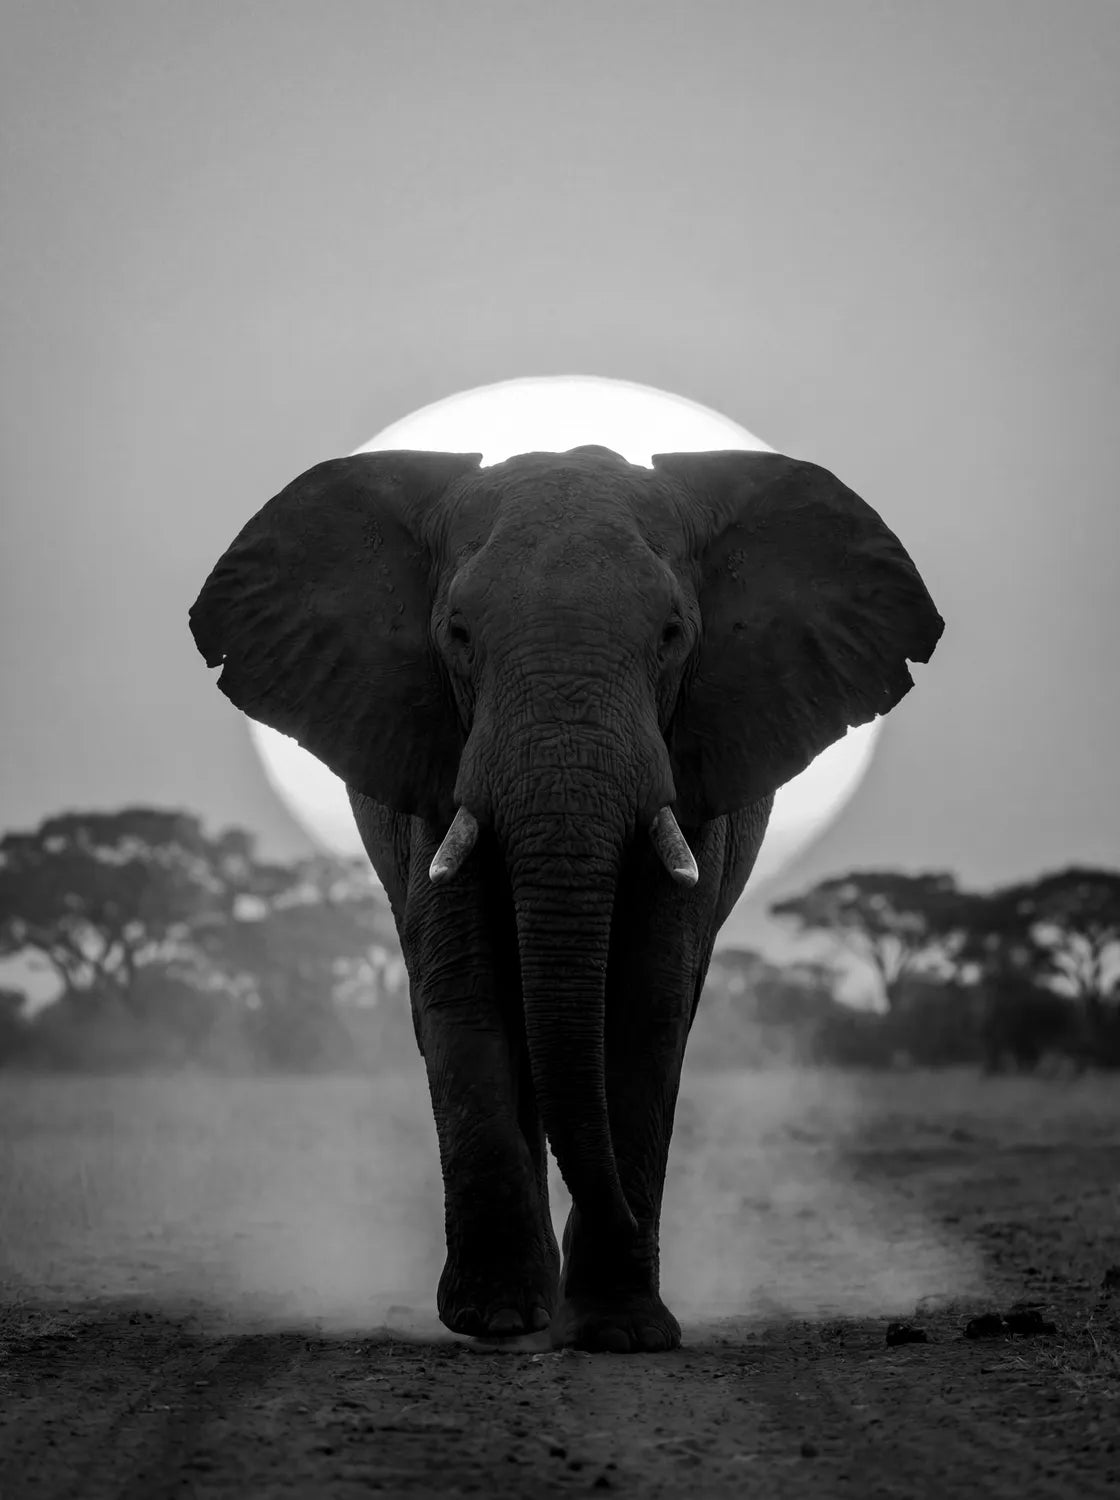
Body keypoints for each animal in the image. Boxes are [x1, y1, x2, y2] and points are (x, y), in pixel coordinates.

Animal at [189, 442, 943, 1352]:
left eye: (672, 635)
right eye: (458, 635)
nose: (619, 1220)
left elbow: (649, 1002)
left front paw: (621, 1330)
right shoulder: (431, 767)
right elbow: (466, 990)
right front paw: (497, 1320)